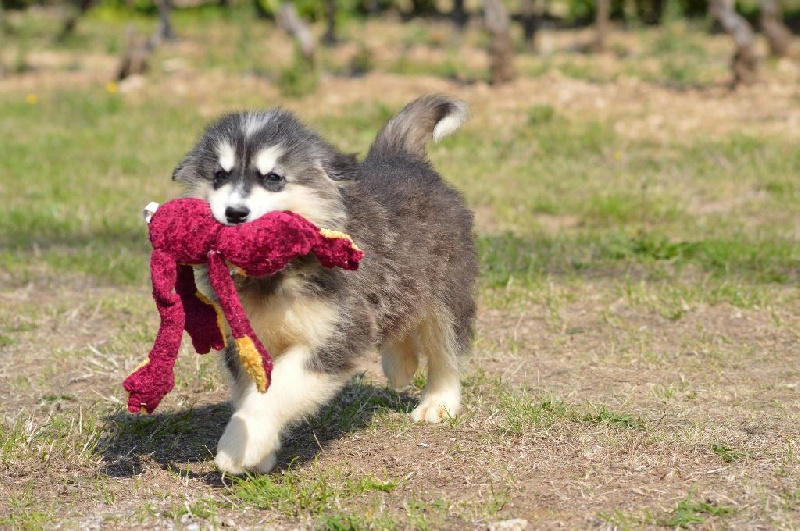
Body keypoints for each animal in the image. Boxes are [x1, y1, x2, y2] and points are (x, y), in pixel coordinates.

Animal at [171, 95, 477, 474]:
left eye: (273, 178)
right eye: (219, 175)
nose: (235, 213)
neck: (277, 274)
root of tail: (400, 157)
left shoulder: (337, 333)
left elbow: (280, 388)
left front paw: (238, 446)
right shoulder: (246, 338)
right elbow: (252, 392)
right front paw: (261, 451)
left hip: (447, 290)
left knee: (445, 348)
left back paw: (438, 403)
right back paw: (400, 366)